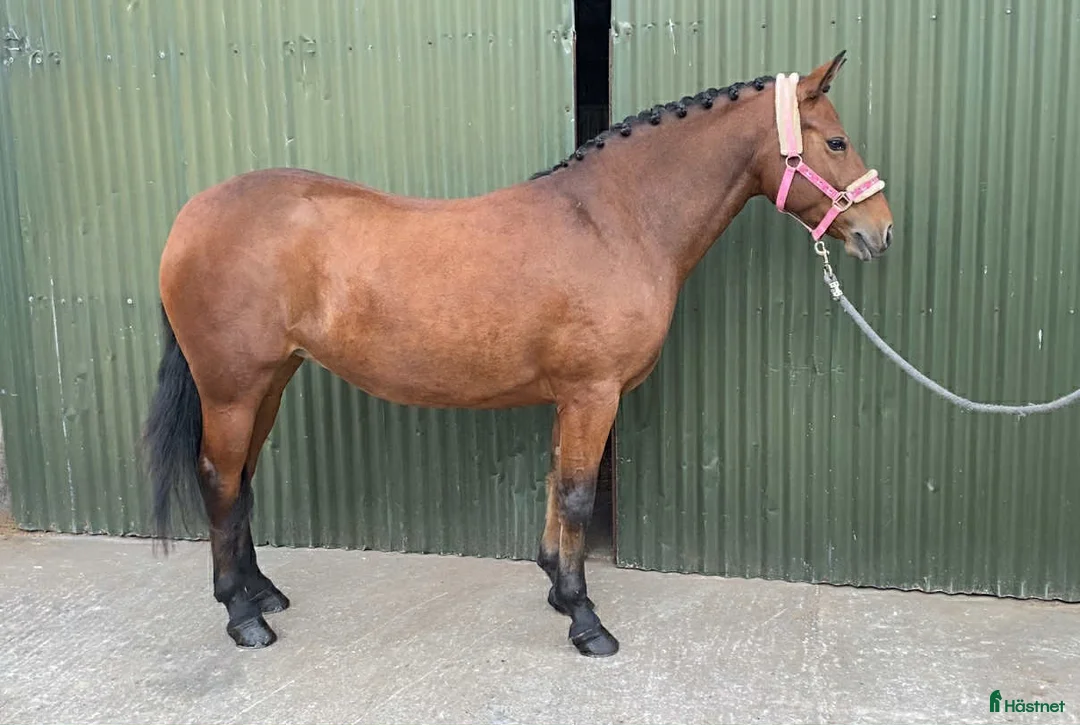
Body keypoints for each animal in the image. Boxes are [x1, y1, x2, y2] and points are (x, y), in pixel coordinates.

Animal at [143, 51, 893, 658]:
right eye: (836, 140)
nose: (880, 231)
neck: (614, 221)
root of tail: (191, 216)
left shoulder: (572, 396)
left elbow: (556, 483)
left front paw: (559, 591)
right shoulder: (594, 392)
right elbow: (580, 495)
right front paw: (587, 621)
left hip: (271, 380)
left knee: (241, 482)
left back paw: (263, 592)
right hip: (233, 388)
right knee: (218, 478)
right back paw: (243, 616)